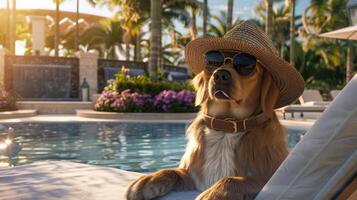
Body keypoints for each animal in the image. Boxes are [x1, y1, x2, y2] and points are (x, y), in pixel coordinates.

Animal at [125, 50, 286, 200]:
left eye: (246, 65)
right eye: (213, 62)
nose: (220, 75)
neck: (226, 128)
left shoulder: (272, 178)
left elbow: (233, 179)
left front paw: (214, 194)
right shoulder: (193, 175)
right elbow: (173, 171)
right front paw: (148, 180)